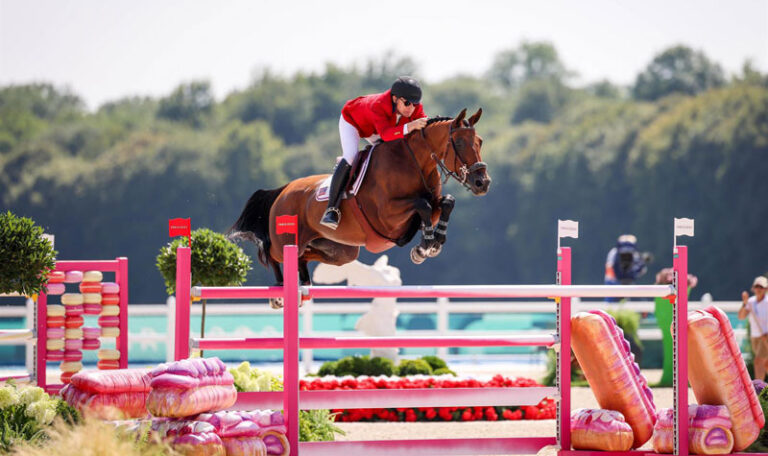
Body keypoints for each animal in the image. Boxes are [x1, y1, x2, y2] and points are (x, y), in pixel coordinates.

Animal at [230, 108, 492, 302]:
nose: (483, 183)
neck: (413, 163)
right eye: (459, 143)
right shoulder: (387, 217)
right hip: (285, 239)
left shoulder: (429, 207)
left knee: (304, 256)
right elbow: (422, 205)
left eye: (479, 141)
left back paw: (304, 282)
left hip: (341, 251)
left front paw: (433, 243)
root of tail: (283, 190)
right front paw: (424, 247)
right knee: (270, 251)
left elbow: (446, 203)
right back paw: (278, 292)